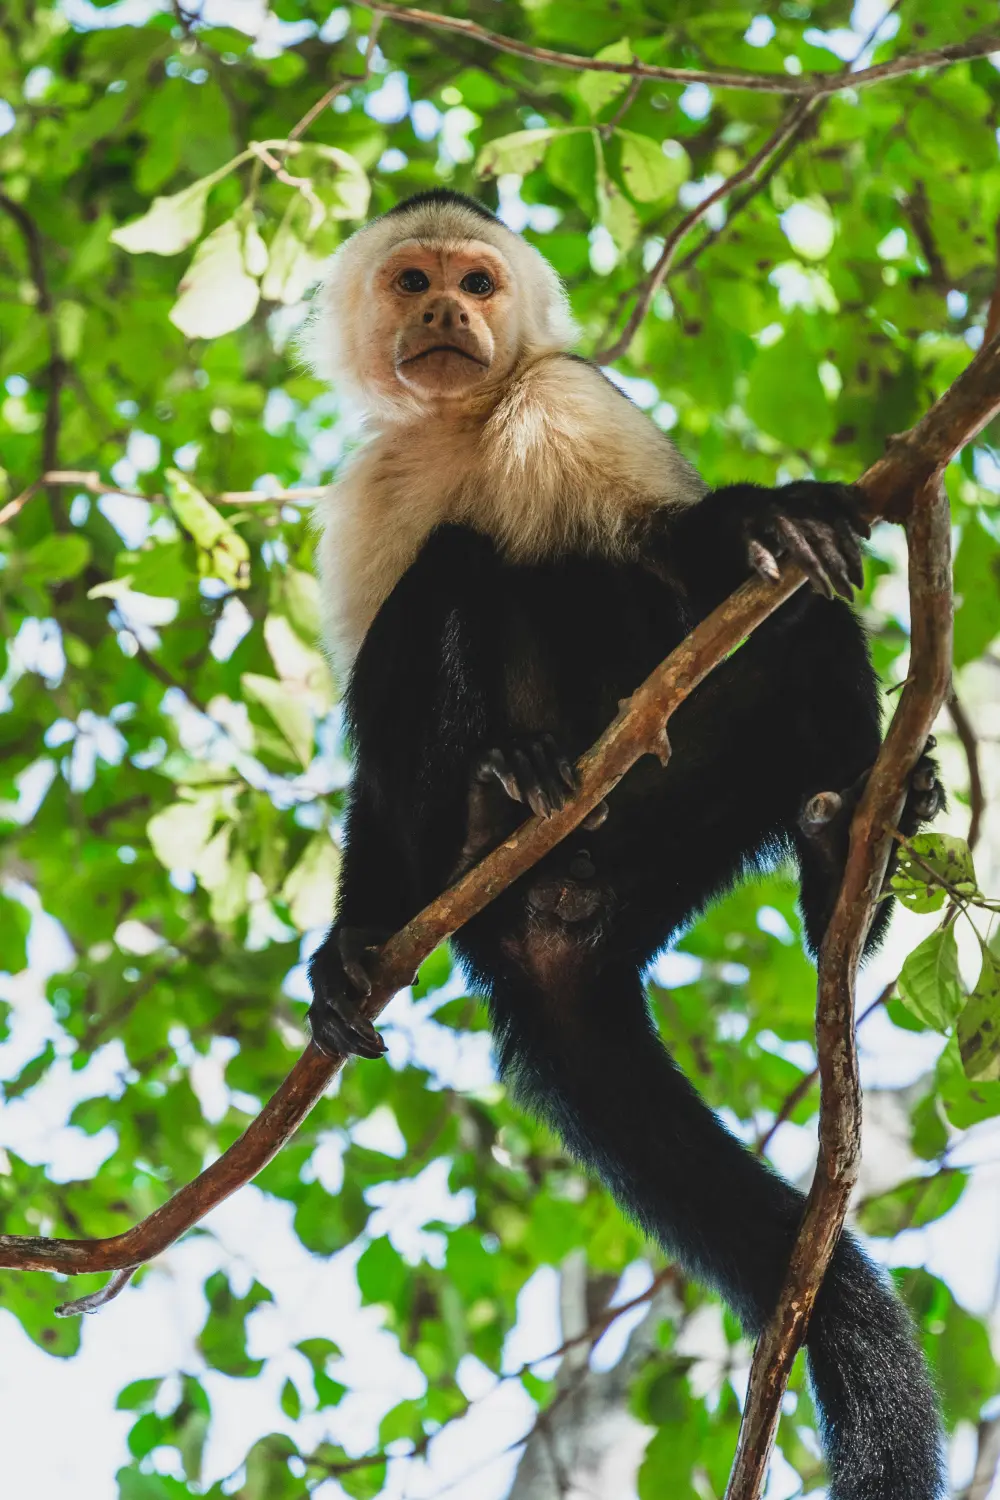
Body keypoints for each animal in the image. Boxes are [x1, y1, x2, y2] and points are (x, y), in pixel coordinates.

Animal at [303, 189, 946, 1499]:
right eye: (410, 282)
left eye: (478, 284)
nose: (445, 316)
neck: (463, 425)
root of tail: (553, 932)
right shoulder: (368, 490)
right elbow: (373, 767)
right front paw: (347, 943)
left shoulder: (566, 396)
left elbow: (675, 548)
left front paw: (763, 518)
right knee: (451, 578)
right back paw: (499, 797)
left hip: (667, 838)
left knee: (782, 631)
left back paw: (840, 866)